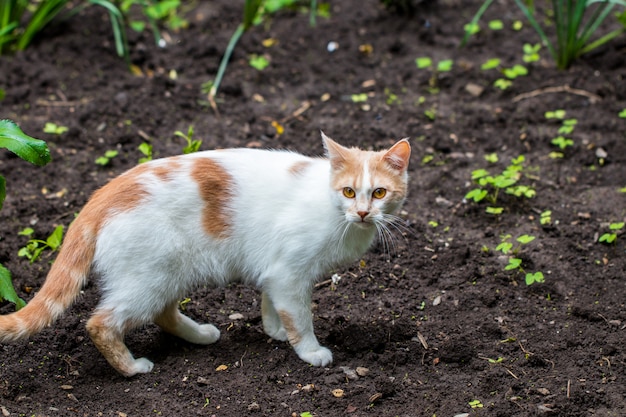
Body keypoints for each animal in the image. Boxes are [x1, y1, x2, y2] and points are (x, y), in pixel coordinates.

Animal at [0, 132, 410, 376]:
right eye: (348, 192)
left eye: (379, 193)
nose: (363, 213)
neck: (334, 210)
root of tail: (101, 195)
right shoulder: (290, 275)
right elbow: (300, 318)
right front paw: (309, 352)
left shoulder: (274, 271)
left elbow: (271, 304)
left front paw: (274, 331)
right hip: (149, 278)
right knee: (101, 323)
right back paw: (133, 368)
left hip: (168, 275)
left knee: (163, 314)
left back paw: (200, 335)